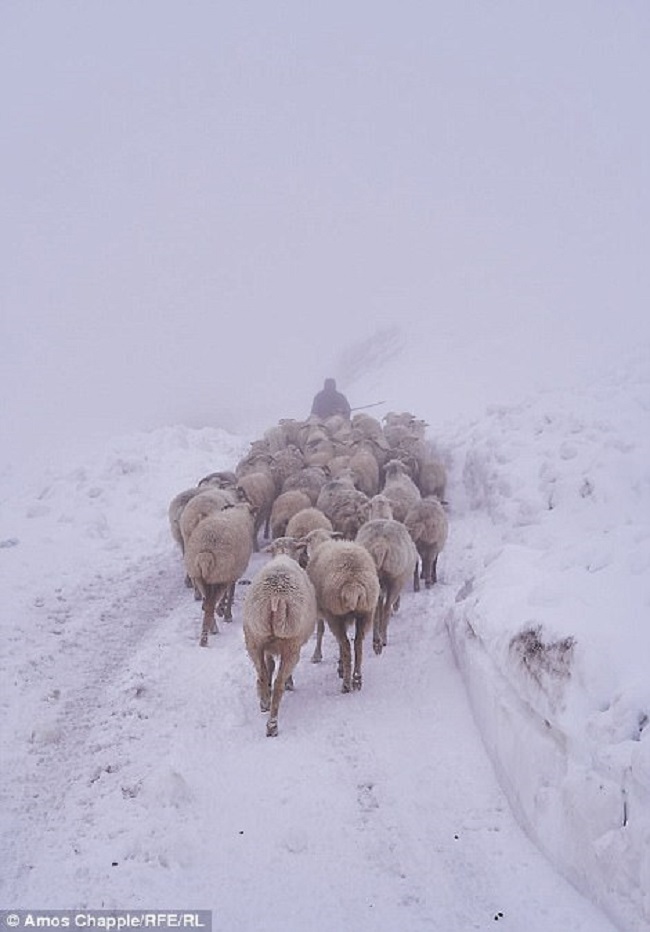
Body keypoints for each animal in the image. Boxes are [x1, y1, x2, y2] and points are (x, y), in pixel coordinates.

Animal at [184, 502, 256, 648]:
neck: (240, 512)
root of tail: (205, 554)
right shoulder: (231, 573)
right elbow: (231, 591)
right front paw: (226, 613)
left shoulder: (225, 574)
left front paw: (222, 609)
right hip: (219, 573)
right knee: (210, 604)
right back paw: (205, 638)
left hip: (200, 576)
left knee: (206, 604)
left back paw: (211, 629)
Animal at [240, 540, 316, 736]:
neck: (283, 553)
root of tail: (276, 598)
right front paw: (290, 683)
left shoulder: (266, 646)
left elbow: (270, 665)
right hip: (291, 644)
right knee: (279, 683)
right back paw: (272, 724)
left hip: (253, 637)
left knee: (261, 674)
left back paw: (264, 702)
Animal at [300, 528, 380, 688]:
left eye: (308, 541)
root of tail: (353, 585)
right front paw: (340, 664)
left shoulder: (325, 611)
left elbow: (321, 631)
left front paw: (332, 663)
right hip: (366, 611)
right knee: (357, 644)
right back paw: (357, 678)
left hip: (334, 613)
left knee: (346, 644)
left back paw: (346, 684)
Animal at [354, 510, 416, 656]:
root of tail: (380, 545)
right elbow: (386, 606)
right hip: (395, 579)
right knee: (386, 607)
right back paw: (382, 640)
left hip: (372, 578)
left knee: (376, 608)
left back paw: (376, 641)